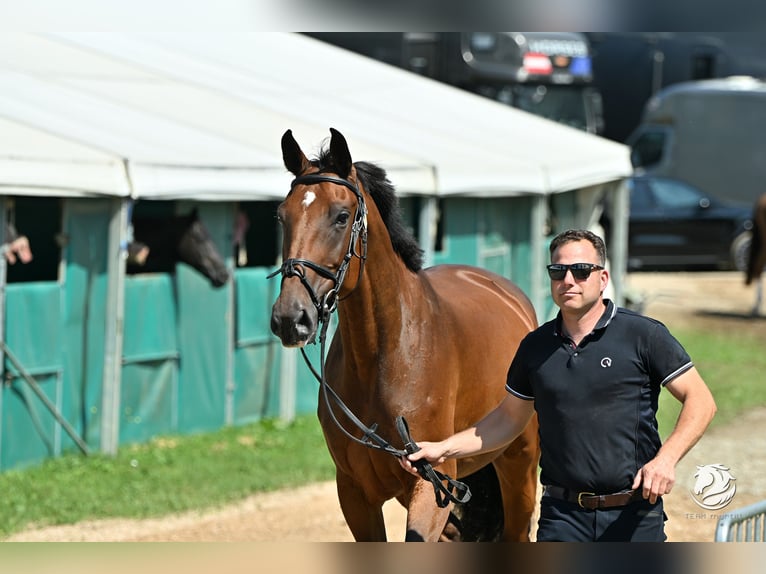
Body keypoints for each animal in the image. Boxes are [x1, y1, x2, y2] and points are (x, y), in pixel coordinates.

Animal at [269, 128, 540, 542]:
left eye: (342, 217)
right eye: (282, 216)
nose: (290, 318)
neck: (383, 355)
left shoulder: (431, 484)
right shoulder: (355, 494)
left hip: (519, 465)